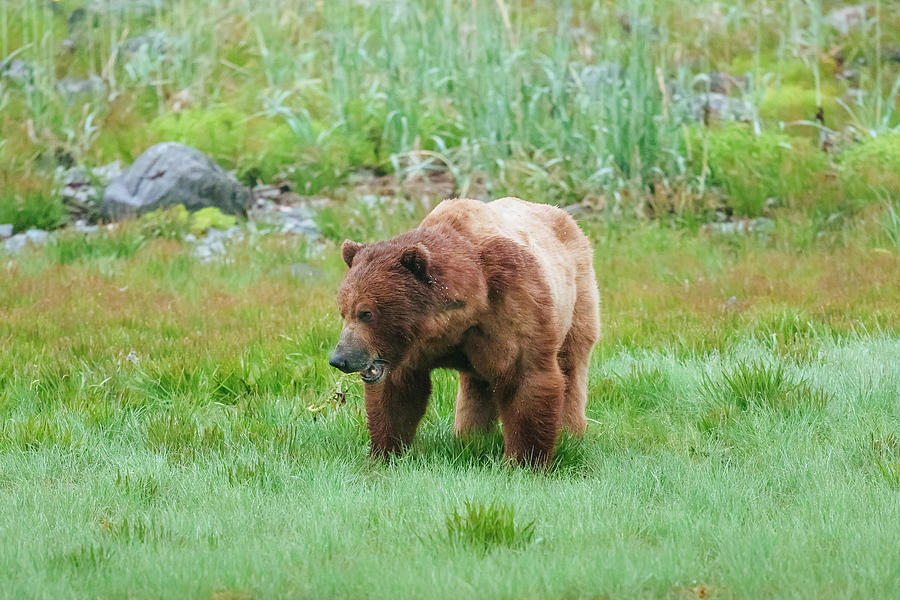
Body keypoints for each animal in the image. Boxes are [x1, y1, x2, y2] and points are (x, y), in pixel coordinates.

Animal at [328, 199, 596, 466]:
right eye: (343, 311)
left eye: (366, 313)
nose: (340, 359)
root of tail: (562, 214)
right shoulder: (412, 351)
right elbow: (396, 394)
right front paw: (383, 453)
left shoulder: (514, 301)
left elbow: (526, 376)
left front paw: (524, 460)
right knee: (476, 385)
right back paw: (471, 436)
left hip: (576, 298)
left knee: (571, 364)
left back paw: (570, 433)